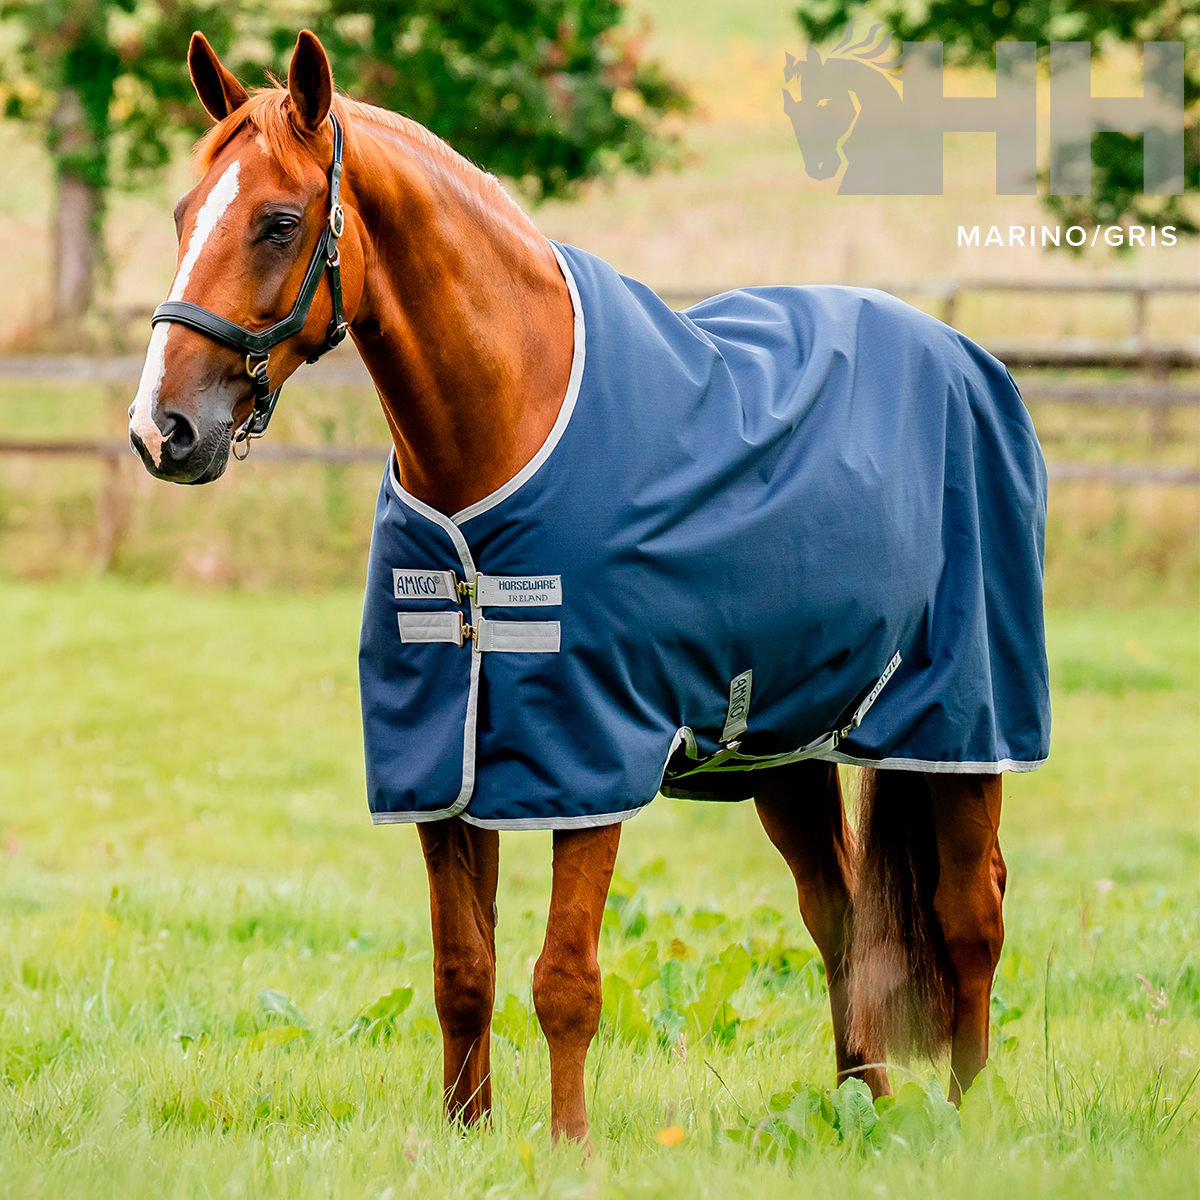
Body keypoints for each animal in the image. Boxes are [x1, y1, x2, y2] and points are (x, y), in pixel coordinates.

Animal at [129, 30, 1048, 1143]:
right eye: (185, 214)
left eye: (276, 220)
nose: (163, 430)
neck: (505, 431)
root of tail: (968, 360)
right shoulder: (442, 762)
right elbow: (462, 973)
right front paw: (466, 1138)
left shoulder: (589, 753)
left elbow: (564, 979)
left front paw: (568, 1148)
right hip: (785, 746)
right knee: (839, 918)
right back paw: (858, 1108)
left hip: (961, 724)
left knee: (971, 914)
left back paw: (967, 1118)